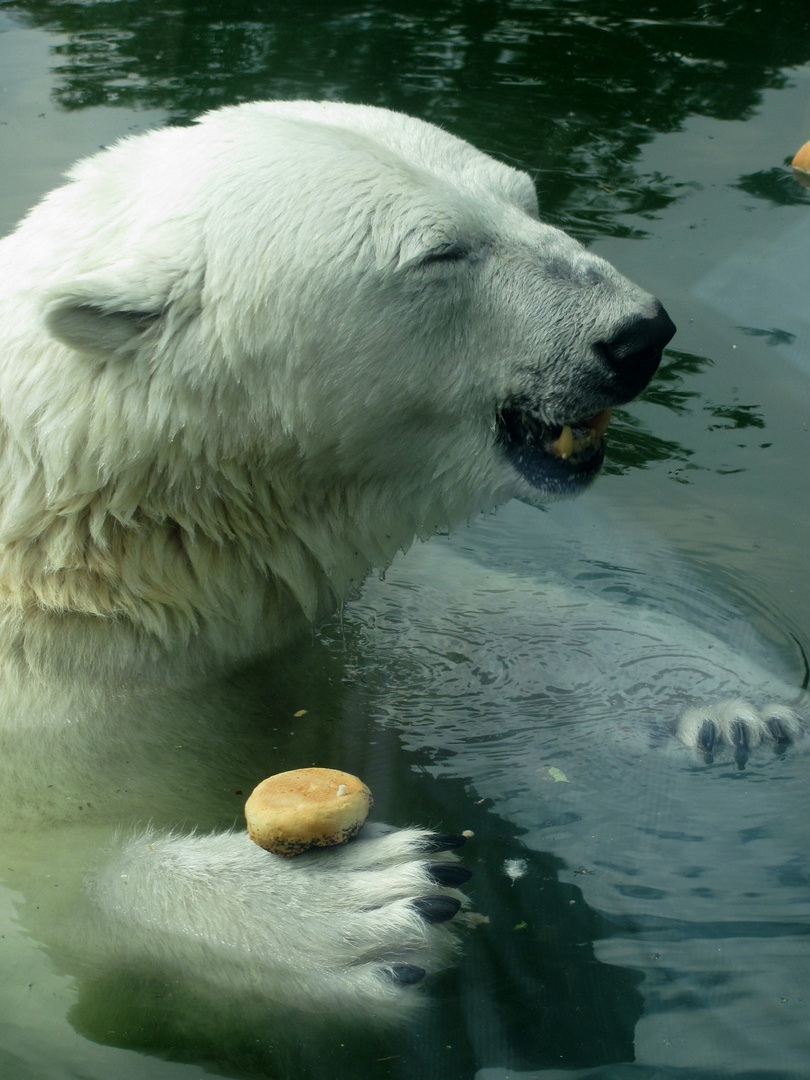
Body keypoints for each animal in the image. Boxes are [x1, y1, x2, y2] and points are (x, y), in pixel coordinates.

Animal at [0, 103, 686, 1028]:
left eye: (525, 196)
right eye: (440, 253)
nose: (636, 334)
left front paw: (715, 699)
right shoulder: (64, 708)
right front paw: (356, 905)